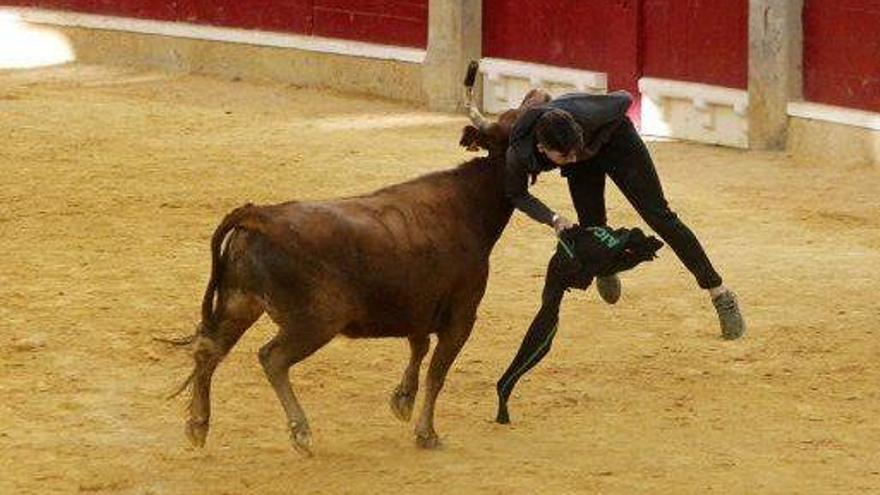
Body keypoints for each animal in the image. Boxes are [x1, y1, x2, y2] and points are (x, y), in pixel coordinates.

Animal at [172, 115, 516, 454]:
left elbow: (419, 348)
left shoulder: (417, 308)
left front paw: (403, 399)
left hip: (240, 301)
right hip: (317, 321)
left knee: (209, 348)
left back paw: (198, 425)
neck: (467, 204)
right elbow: (436, 373)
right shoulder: (462, 316)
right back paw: (301, 432)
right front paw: (427, 433)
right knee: (272, 358)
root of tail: (260, 215)